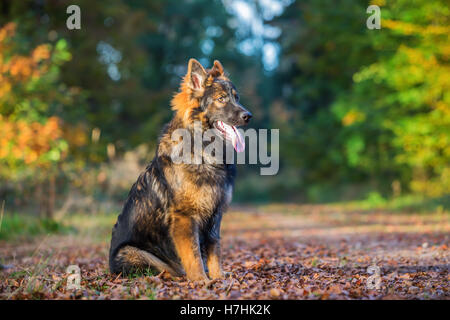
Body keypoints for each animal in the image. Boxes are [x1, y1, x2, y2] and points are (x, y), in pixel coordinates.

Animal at [107, 58, 251, 280]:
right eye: (221, 99)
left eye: (237, 98)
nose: (248, 116)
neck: (204, 151)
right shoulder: (185, 217)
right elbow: (193, 254)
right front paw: (201, 280)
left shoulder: (214, 216)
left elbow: (214, 252)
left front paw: (218, 278)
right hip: (135, 252)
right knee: (165, 270)